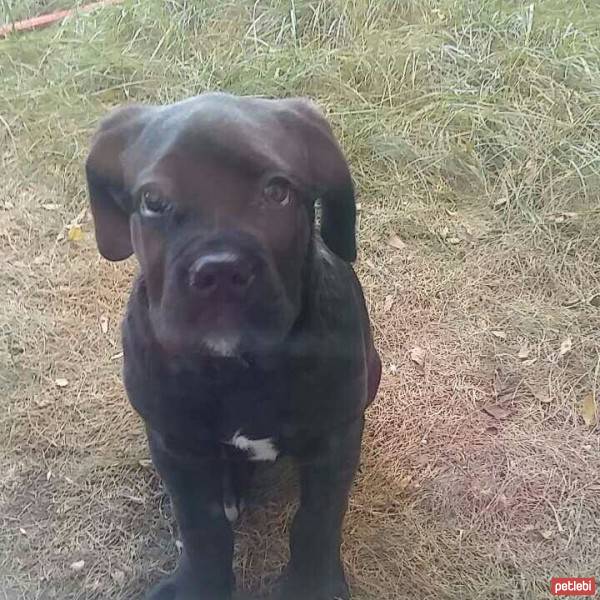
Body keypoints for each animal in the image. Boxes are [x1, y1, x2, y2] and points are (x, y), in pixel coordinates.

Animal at [85, 94, 380, 600]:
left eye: (277, 192)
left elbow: (317, 520)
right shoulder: (175, 445)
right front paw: (199, 585)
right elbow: (201, 528)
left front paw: (312, 584)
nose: (220, 270)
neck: (239, 366)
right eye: (153, 201)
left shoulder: (335, 438)